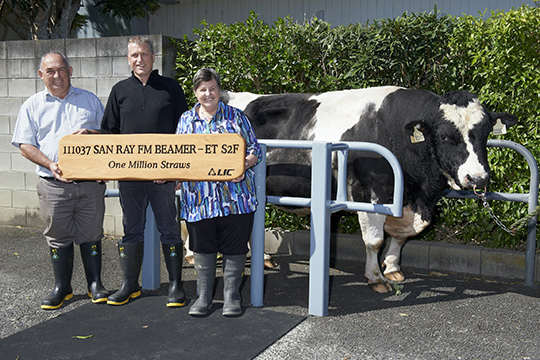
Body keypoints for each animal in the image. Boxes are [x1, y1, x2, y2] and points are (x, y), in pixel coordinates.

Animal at [221, 86, 516, 292]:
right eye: (444, 136)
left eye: (486, 134)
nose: (477, 179)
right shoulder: (370, 192)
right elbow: (374, 241)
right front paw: (376, 277)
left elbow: (400, 237)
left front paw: (393, 267)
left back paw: (263, 257)